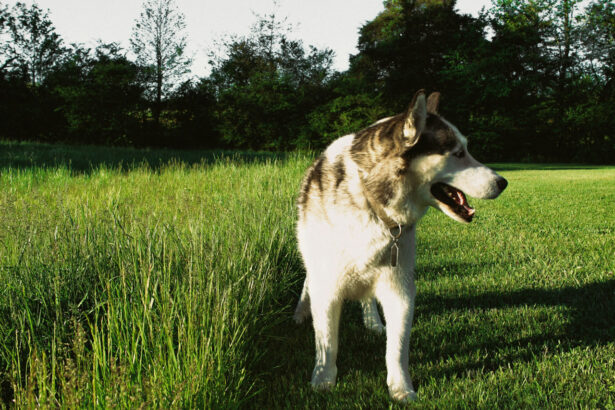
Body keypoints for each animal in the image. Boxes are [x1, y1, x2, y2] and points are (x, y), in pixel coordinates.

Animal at [294, 89, 510, 400]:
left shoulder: (400, 290)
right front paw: (323, 380)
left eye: (466, 150)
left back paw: (372, 321)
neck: (373, 205)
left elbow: (396, 349)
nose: (503, 182)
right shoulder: (328, 287)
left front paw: (400, 389)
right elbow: (327, 343)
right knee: (309, 281)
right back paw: (301, 311)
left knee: (367, 298)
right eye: (458, 153)